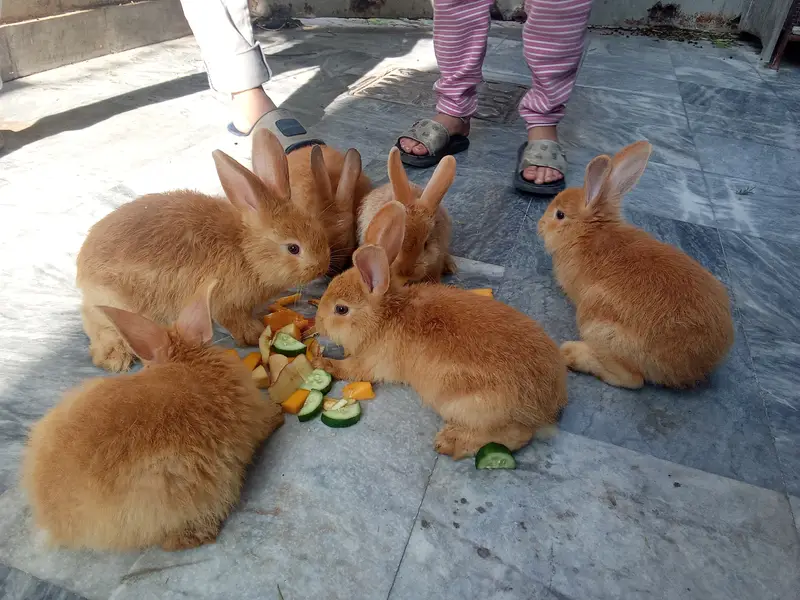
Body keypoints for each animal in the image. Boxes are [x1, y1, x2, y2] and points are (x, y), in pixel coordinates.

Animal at [77, 128, 330, 372]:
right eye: (293, 248)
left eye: (317, 227)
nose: (322, 266)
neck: (246, 251)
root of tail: (82, 271)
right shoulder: (225, 303)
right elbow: (234, 322)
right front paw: (254, 333)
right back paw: (115, 359)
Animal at [311, 200, 567, 460]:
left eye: (341, 309)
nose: (317, 324)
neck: (386, 316)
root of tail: (547, 408)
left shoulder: (371, 363)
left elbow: (349, 369)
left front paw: (321, 362)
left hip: (466, 406)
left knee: (516, 436)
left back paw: (450, 442)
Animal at [537, 140, 735, 389]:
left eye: (560, 215)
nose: (539, 225)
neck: (587, 233)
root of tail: (695, 365)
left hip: (598, 324)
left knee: (633, 380)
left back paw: (572, 354)